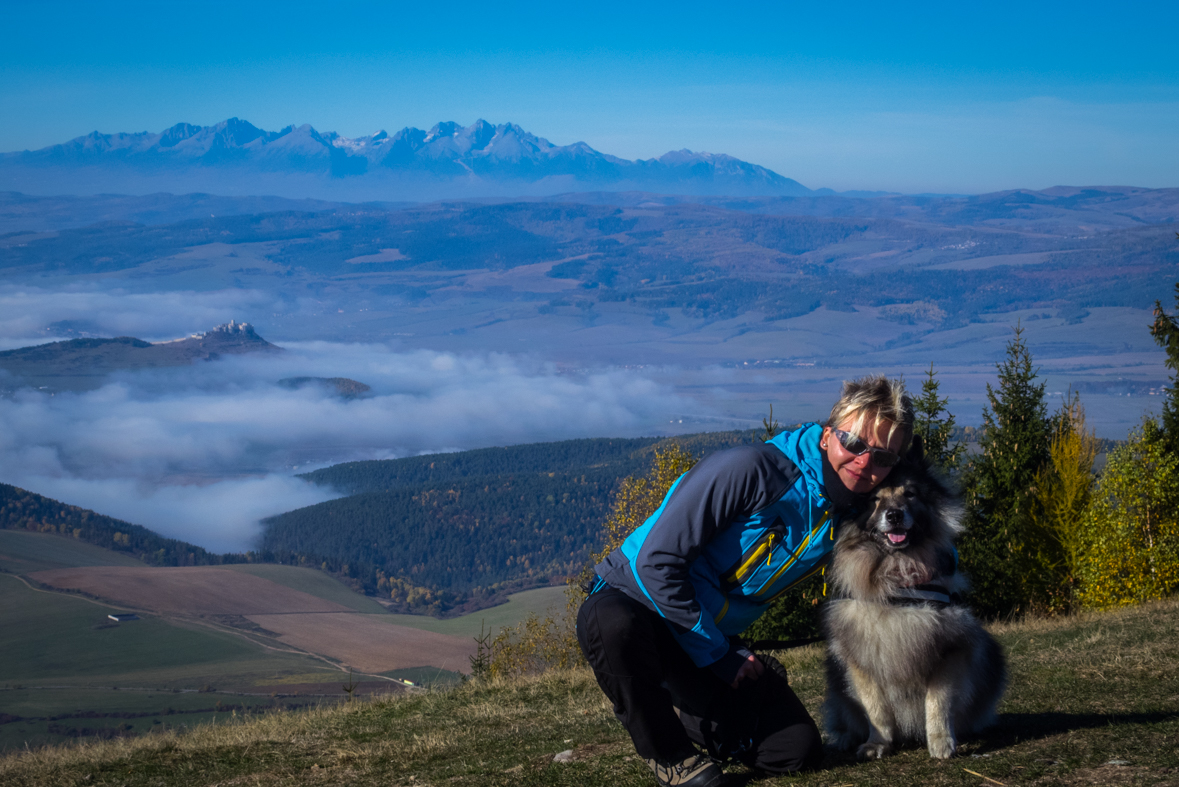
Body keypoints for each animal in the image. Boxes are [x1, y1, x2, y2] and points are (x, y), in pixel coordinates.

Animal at [820, 440, 1004, 758]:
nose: (894, 515)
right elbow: (875, 709)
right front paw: (877, 743)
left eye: (910, 494)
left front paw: (941, 741)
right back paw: (846, 738)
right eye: (874, 500)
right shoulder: (861, 658)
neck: (898, 580)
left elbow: (938, 701)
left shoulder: (950, 647)